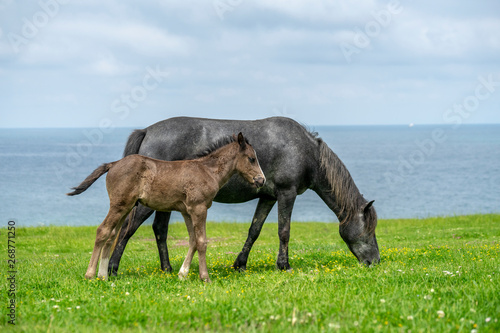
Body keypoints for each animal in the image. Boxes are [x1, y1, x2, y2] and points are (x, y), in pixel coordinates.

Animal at [67, 132, 266, 280]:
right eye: (251, 158)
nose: (261, 180)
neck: (207, 171)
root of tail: (113, 164)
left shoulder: (187, 211)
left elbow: (193, 240)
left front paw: (182, 274)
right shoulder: (199, 208)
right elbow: (202, 241)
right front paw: (205, 277)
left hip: (126, 207)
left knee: (112, 235)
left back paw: (104, 276)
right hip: (119, 205)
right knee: (103, 230)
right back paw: (90, 274)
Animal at [106, 115, 378, 274]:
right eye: (369, 229)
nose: (374, 261)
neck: (306, 151)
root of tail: (147, 131)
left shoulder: (268, 197)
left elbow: (254, 230)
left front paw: (240, 264)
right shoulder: (286, 194)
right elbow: (284, 231)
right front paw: (284, 265)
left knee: (159, 230)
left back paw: (167, 269)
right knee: (127, 229)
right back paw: (112, 268)